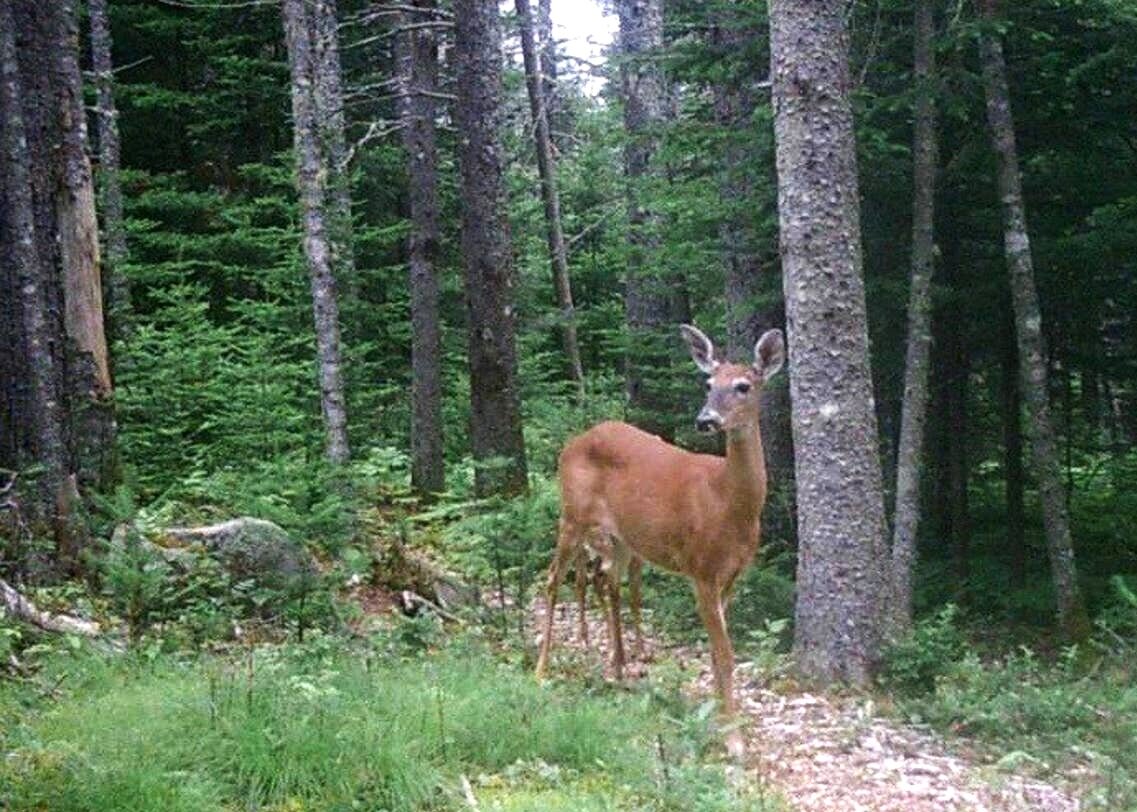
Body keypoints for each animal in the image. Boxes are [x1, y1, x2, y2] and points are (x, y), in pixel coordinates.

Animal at [532, 320, 782, 750]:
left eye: (743, 386)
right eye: (707, 382)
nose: (705, 420)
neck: (728, 503)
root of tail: (574, 440)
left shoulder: (731, 576)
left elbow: (717, 653)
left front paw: (719, 717)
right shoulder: (700, 569)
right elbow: (725, 654)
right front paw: (733, 738)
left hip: (621, 538)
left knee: (608, 580)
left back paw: (619, 668)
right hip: (573, 515)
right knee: (552, 579)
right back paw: (542, 668)